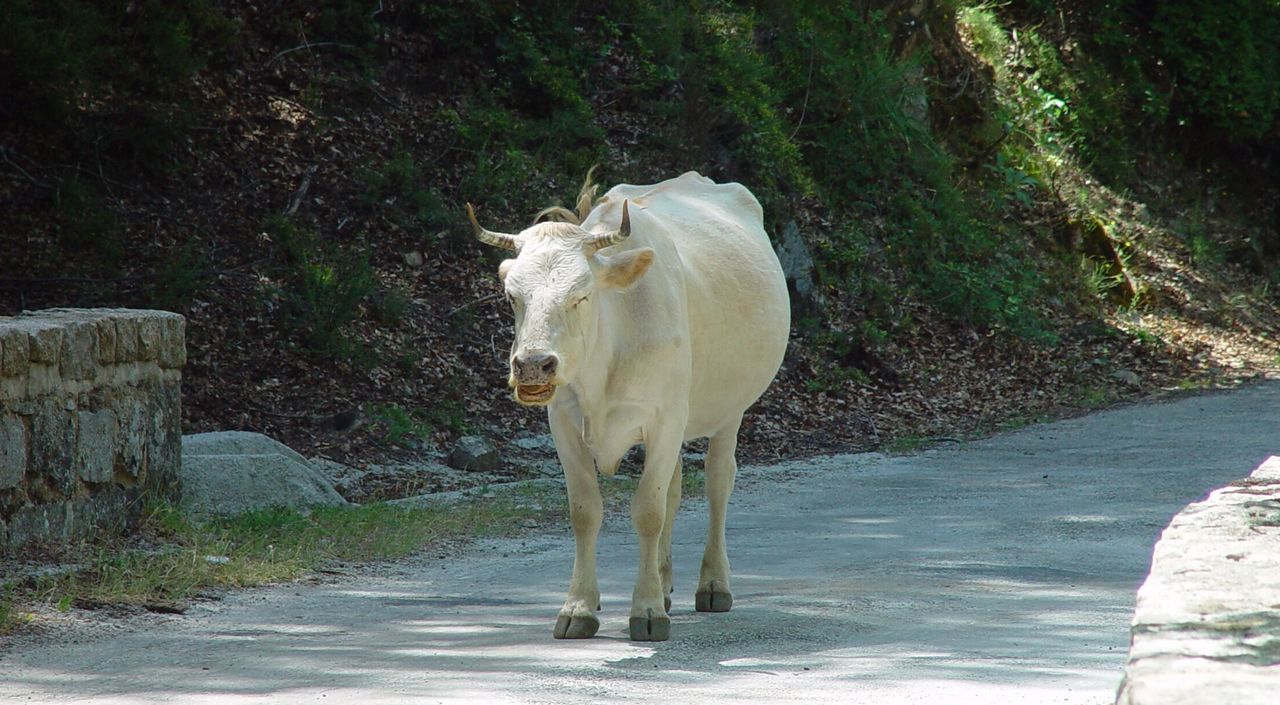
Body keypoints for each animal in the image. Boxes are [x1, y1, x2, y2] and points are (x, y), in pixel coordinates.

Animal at [471, 171, 788, 639]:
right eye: (513, 296)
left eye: (582, 295)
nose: (531, 365)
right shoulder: (563, 423)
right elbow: (585, 511)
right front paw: (580, 607)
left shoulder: (664, 419)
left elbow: (648, 511)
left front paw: (648, 610)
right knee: (675, 488)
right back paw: (666, 581)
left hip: (730, 409)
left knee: (717, 481)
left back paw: (713, 584)